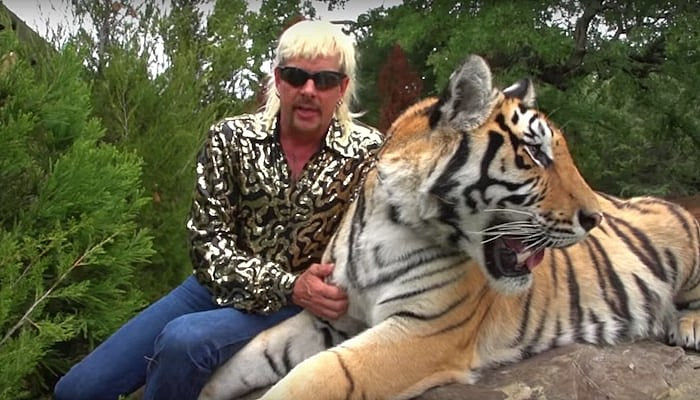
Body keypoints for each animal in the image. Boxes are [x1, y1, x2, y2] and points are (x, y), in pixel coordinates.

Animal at [198, 54, 700, 400]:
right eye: (535, 153)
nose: (594, 218)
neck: (389, 222)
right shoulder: (332, 314)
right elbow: (253, 353)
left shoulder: (422, 332)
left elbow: (317, 375)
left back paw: (688, 327)